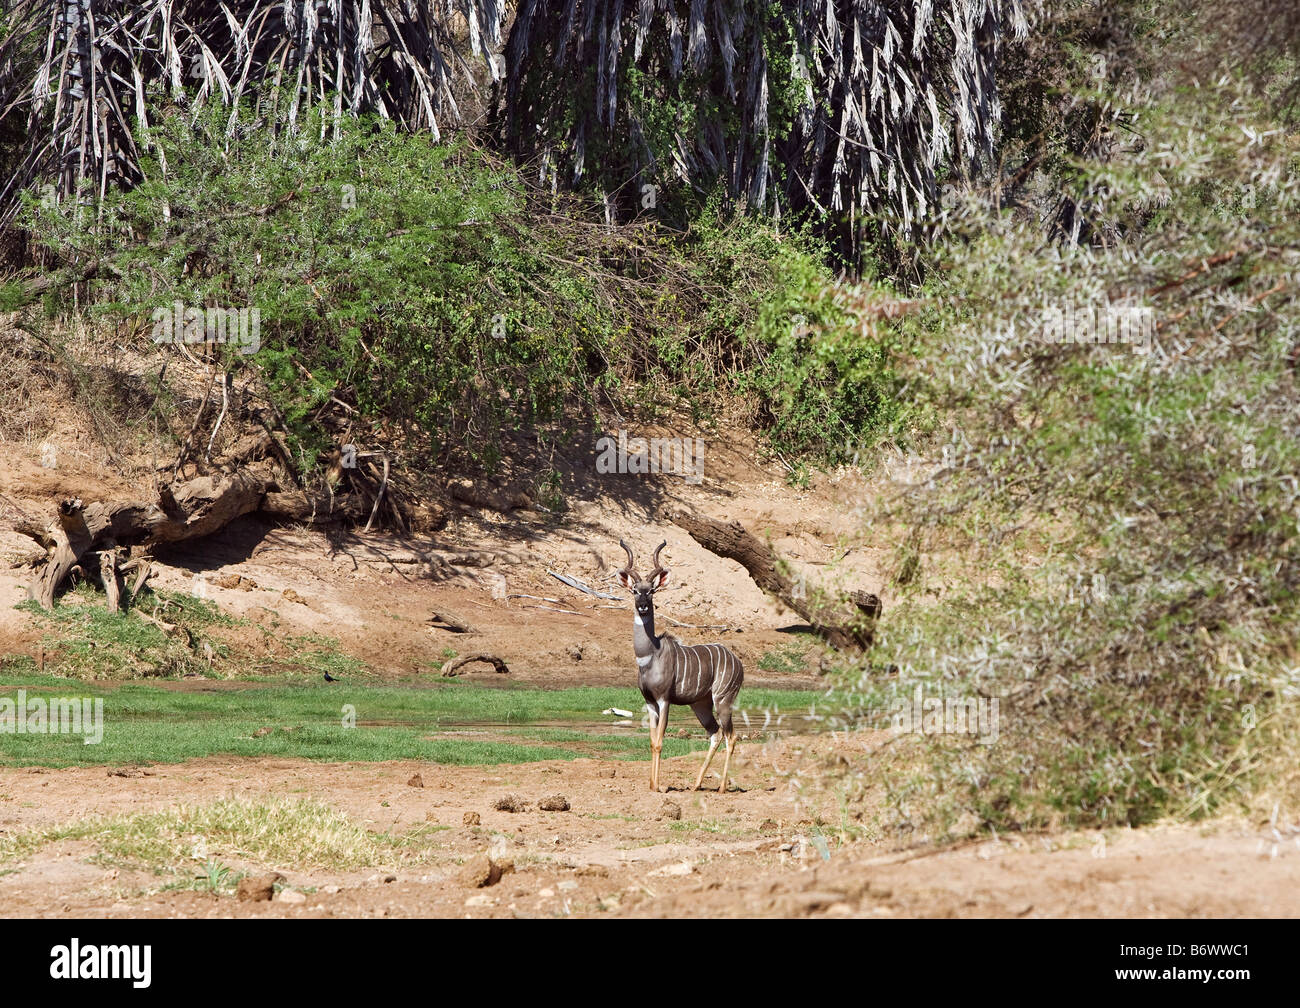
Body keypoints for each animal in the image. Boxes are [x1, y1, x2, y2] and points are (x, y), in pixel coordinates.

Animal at [616, 541, 748, 790]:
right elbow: (652, 741)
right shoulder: (649, 702)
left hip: (723, 700)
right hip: (700, 704)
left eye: (651, 591)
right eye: (635, 590)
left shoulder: (664, 699)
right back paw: (696, 784)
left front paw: (658, 786)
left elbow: (659, 741)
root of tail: (738, 662)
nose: (643, 607)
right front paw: (652, 785)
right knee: (715, 734)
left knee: (731, 736)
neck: (650, 656)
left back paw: (722, 788)